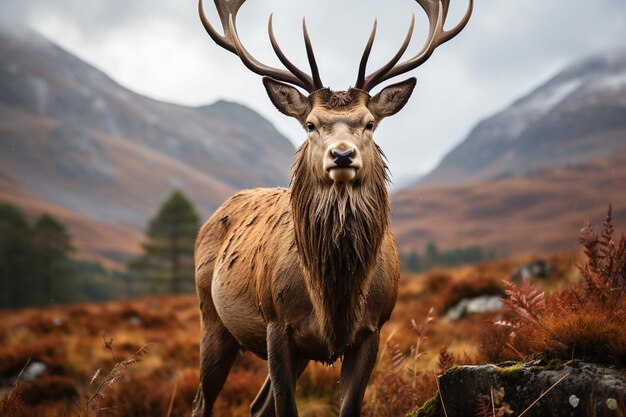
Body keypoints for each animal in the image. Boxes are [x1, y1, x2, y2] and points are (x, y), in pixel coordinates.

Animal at [193, 0, 470, 416]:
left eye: (369, 123)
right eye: (310, 124)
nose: (342, 155)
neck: (334, 298)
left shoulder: (372, 329)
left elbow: (347, 406)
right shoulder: (277, 324)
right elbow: (286, 408)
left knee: (257, 406)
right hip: (212, 320)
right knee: (203, 402)